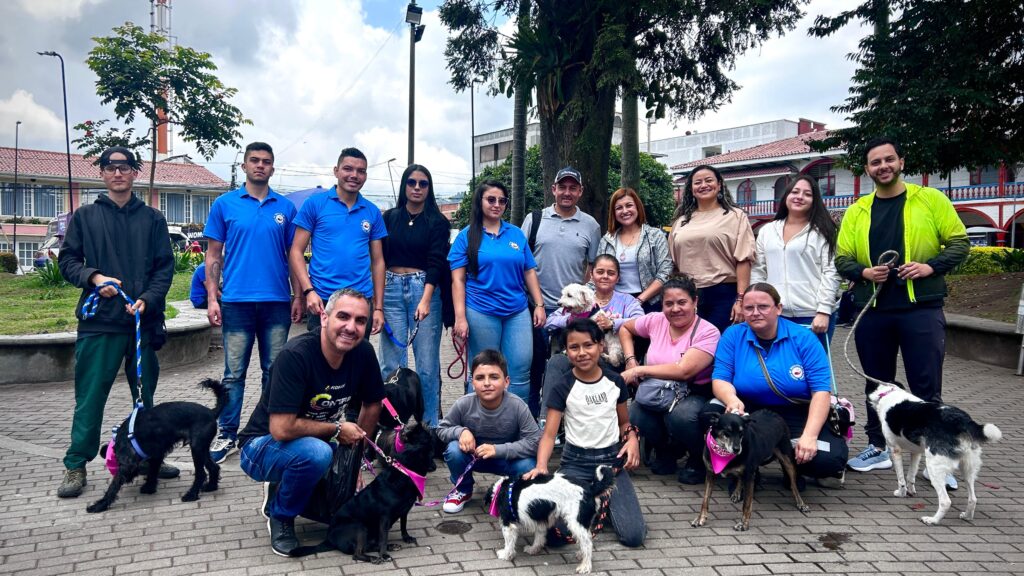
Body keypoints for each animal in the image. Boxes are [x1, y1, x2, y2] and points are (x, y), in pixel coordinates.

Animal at [86, 379, 228, 508]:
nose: (129, 479)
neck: (121, 438)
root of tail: (212, 412)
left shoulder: (128, 463)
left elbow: (114, 484)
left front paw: (101, 504)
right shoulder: (156, 455)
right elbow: (153, 471)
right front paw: (149, 487)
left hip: (197, 449)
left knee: (201, 474)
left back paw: (191, 495)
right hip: (202, 448)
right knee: (214, 467)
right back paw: (211, 486)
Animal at [288, 416, 432, 561]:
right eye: (428, 449)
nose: (434, 466)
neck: (404, 473)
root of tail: (328, 539)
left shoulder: (404, 511)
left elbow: (403, 525)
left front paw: (406, 537)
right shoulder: (384, 518)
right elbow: (383, 538)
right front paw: (384, 554)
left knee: (369, 546)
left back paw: (390, 547)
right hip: (360, 527)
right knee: (357, 553)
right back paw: (374, 557)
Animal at [868, 379, 1003, 522]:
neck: (889, 393)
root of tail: (963, 421)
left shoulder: (895, 450)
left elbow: (901, 479)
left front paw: (901, 493)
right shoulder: (916, 452)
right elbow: (911, 476)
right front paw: (911, 491)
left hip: (934, 465)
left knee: (945, 501)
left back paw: (932, 520)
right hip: (968, 468)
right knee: (973, 499)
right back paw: (967, 516)